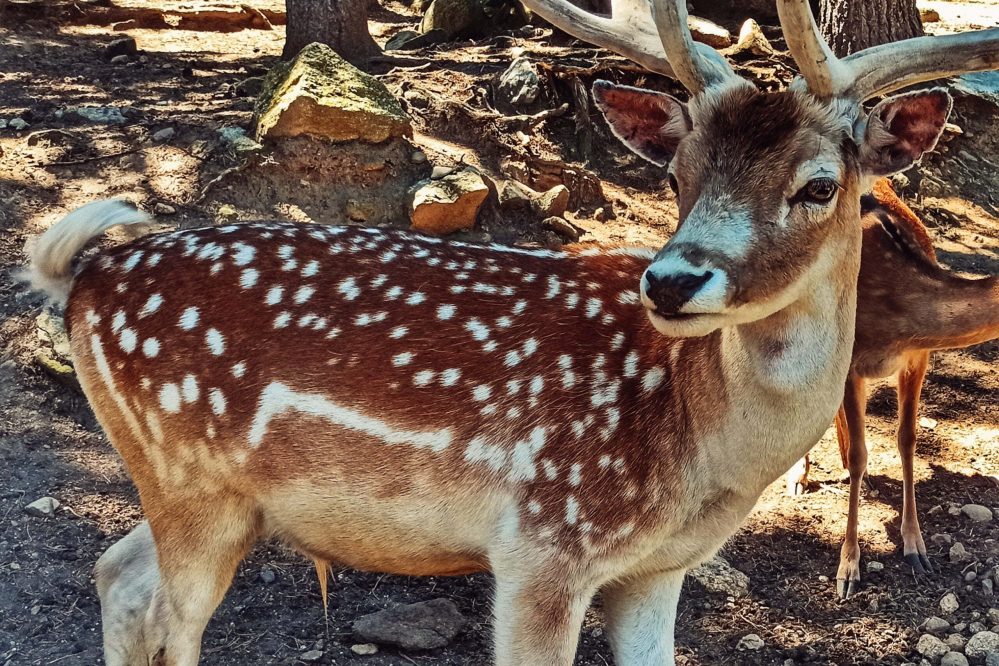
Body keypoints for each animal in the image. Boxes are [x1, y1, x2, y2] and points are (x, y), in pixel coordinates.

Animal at [23, 1, 999, 664]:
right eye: (678, 170)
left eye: (819, 185)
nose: (669, 280)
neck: (697, 452)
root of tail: (82, 276)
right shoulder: (541, 544)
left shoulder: (656, 570)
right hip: (189, 478)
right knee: (167, 613)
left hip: (206, 493)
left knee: (117, 573)